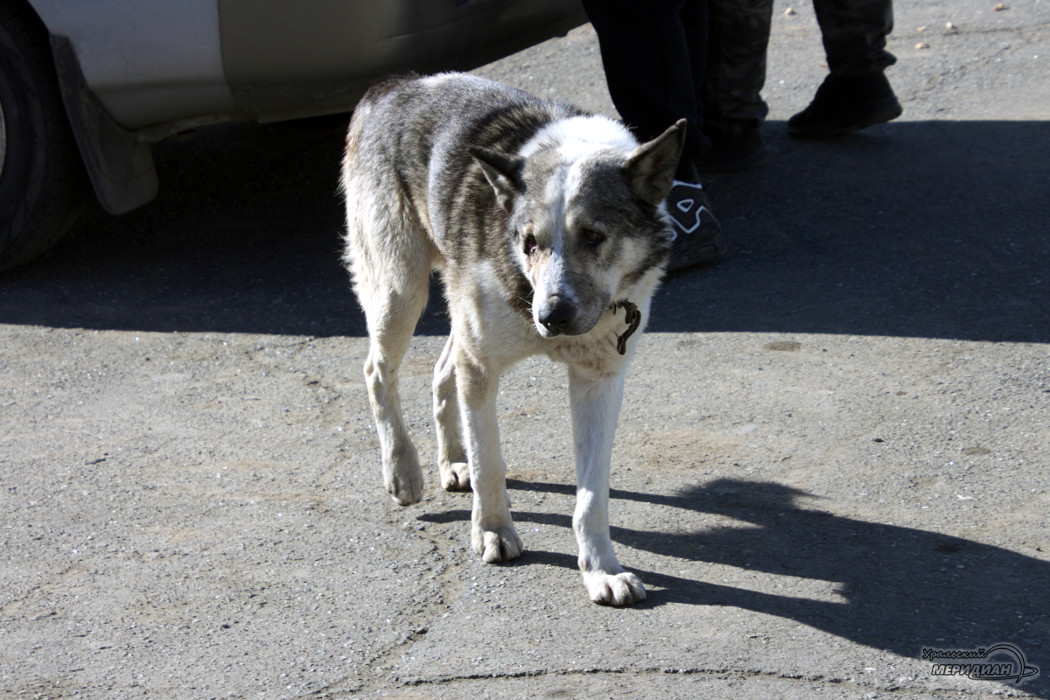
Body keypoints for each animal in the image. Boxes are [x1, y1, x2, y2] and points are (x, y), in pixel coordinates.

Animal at [340, 72, 684, 608]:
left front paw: (601, 569)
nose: (551, 316)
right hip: (401, 288)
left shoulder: (599, 382)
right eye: (529, 242)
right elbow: (490, 464)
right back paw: (403, 470)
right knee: (378, 371)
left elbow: (592, 496)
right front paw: (493, 531)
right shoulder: (482, 366)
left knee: (441, 371)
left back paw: (451, 461)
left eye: (593, 235)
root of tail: (392, 85)